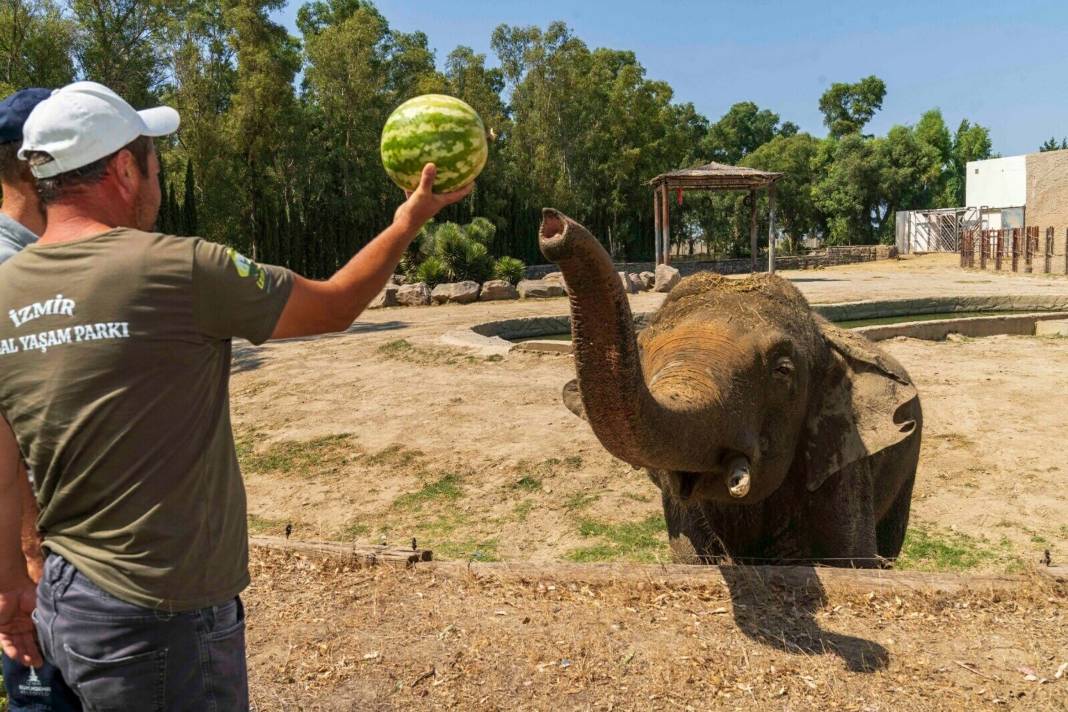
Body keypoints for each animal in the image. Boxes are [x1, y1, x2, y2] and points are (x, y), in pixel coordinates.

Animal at [538, 209, 922, 572]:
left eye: (783, 371)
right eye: (642, 352)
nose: (552, 226)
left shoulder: (841, 461)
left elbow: (853, 560)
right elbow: (691, 557)